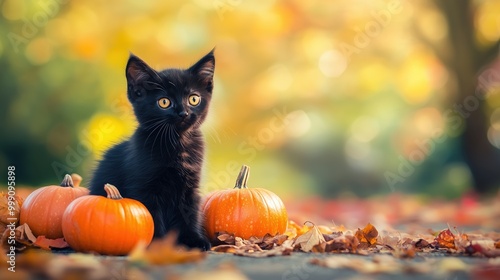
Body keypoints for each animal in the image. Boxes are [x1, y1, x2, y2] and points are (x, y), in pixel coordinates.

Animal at [89, 49, 214, 249]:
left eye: (193, 99)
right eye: (164, 102)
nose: (184, 113)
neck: (176, 143)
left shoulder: (190, 187)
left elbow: (190, 213)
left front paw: (194, 239)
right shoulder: (144, 187)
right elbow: (152, 217)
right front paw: (158, 245)